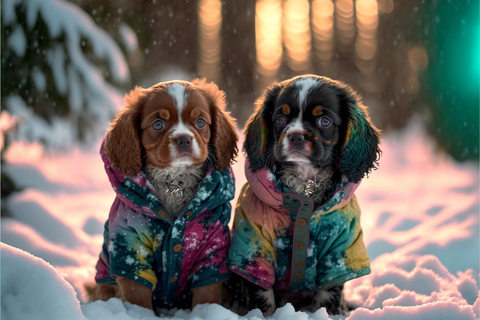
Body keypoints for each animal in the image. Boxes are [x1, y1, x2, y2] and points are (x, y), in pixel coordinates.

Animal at [86, 79, 238, 312]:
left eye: (200, 122)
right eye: (158, 124)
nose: (184, 139)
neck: (175, 181)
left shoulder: (212, 248)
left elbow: (207, 294)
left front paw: (206, 312)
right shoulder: (131, 246)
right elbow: (138, 296)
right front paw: (140, 315)